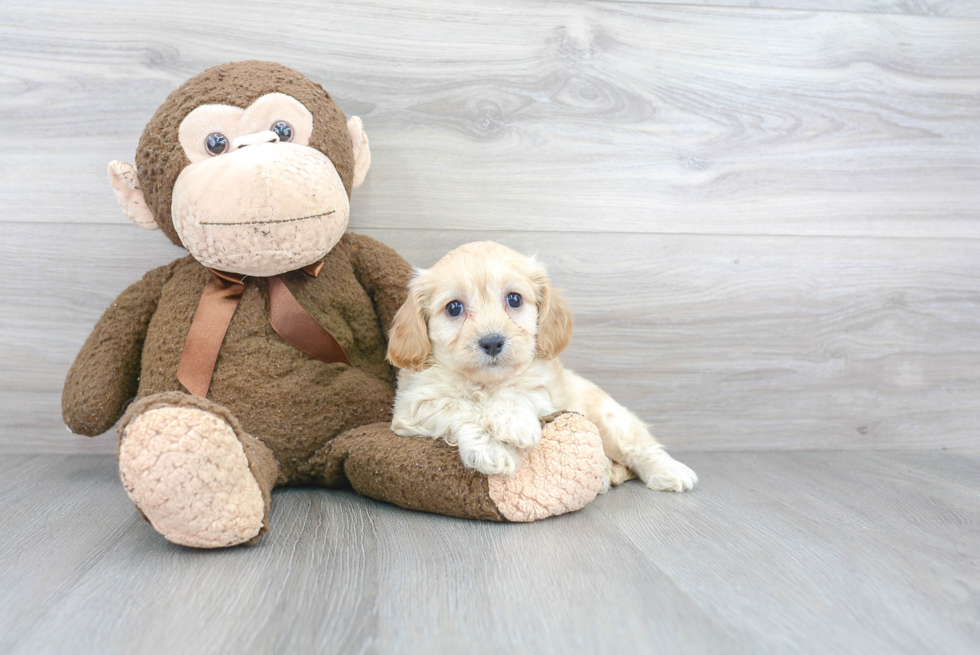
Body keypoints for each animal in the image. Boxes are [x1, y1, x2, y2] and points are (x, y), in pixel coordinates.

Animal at [384, 241, 696, 492]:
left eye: (514, 299)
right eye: (453, 308)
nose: (492, 342)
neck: (487, 383)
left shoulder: (546, 392)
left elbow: (517, 393)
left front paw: (514, 423)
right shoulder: (413, 407)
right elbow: (460, 407)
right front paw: (491, 449)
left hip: (612, 420)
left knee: (640, 448)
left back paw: (670, 472)